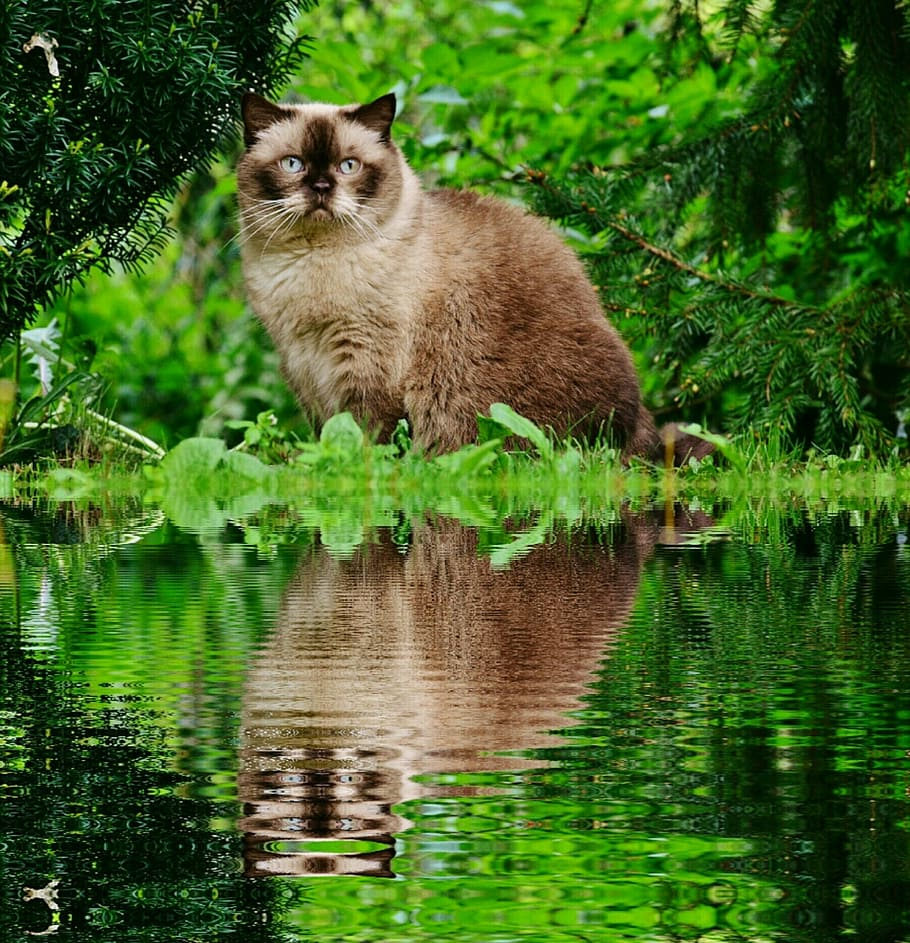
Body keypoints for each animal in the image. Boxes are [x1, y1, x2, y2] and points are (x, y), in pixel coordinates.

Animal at [237, 93, 712, 464]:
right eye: (293, 164)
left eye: (348, 166)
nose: (320, 187)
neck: (313, 265)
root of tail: (646, 432)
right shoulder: (302, 365)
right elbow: (326, 436)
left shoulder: (368, 365)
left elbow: (368, 442)